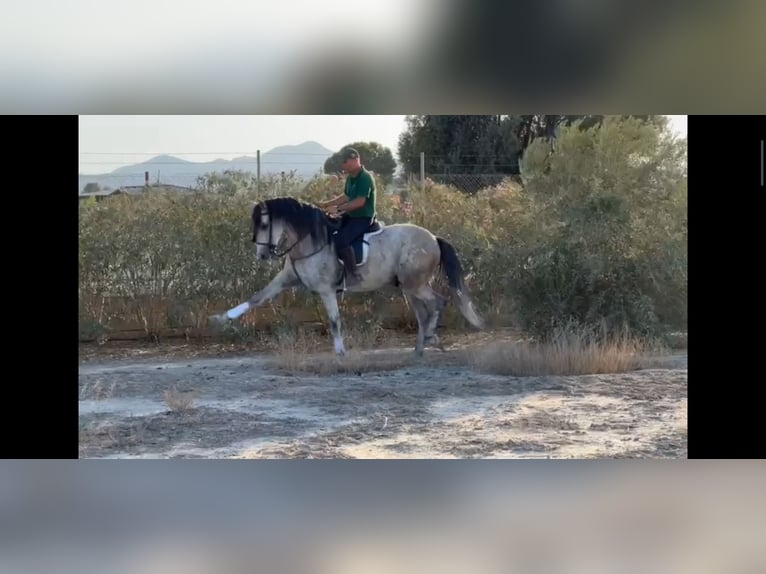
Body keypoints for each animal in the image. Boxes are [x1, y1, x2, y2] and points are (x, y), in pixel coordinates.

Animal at [210, 200, 486, 358]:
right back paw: (422, 347)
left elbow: (334, 320)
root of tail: (433, 238)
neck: (311, 240)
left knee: (438, 302)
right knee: (423, 312)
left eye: (265, 224)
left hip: (415, 284)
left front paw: (341, 352)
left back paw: (430, 338)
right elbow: (256, 298)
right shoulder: (285, 279)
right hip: (410, 287)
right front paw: (221, 318)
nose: (262, 255)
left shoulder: (326, 290)